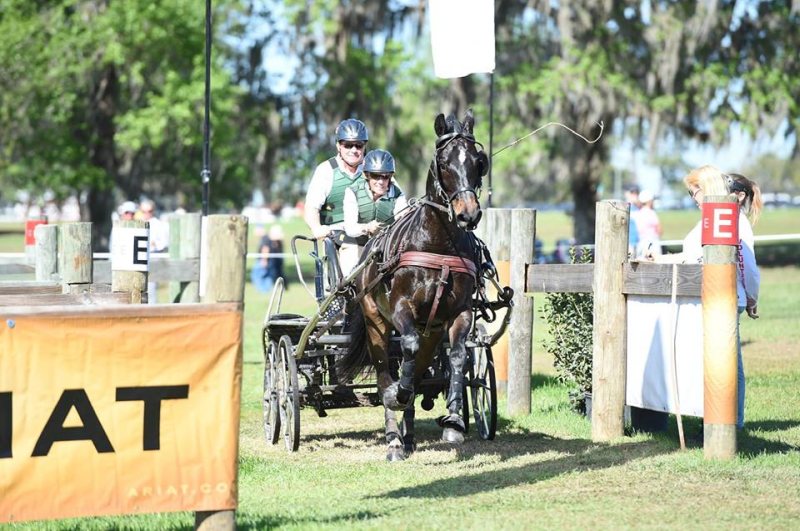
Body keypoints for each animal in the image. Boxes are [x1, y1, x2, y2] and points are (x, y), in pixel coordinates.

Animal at [336, 109, 488, 462]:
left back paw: (408, 436)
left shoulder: (458, 313)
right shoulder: (401, 309)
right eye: (444, 162)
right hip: (376, 323)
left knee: (418, 370)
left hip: (430, 329)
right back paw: (394, 437)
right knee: (384, 372)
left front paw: (454, 421)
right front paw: (398, 394)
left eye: (478, 161)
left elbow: (457, 356)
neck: (439, 244)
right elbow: (406, 348)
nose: (468, 215)